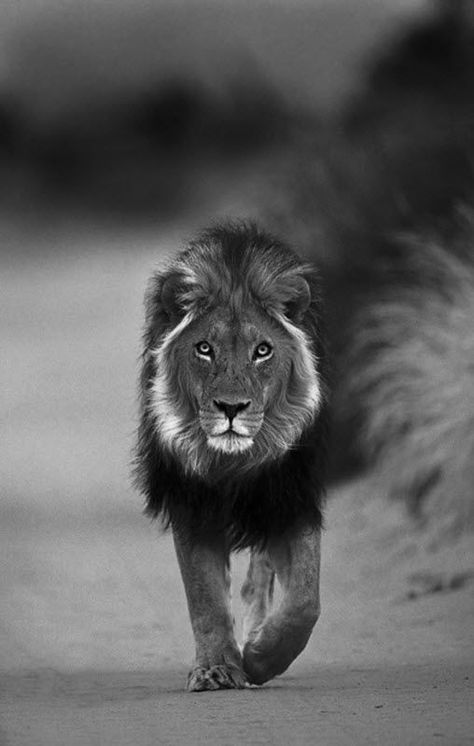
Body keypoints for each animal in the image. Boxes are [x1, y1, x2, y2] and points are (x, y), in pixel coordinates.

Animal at [134, 221, 330, 692]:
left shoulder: (291, 496)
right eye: (204, 349)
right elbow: (204, 597)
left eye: (263, 350)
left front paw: (260, 657)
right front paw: (217, 669)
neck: (232, 463)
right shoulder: (191, 502)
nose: (230, 408)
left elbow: (305, 602)